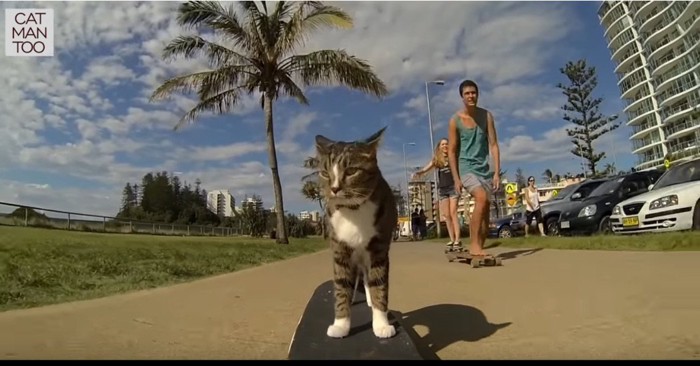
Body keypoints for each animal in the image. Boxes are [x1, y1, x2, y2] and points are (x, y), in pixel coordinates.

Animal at [314, 126, 400, 340]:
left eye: (352, 171)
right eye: (325, 173)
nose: (334, 189)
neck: (352, 210)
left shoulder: (378, 249)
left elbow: (379, 285)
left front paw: (381, 324)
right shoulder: (340, 249)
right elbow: (341, 286)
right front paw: (341, 325)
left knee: (368, 279)